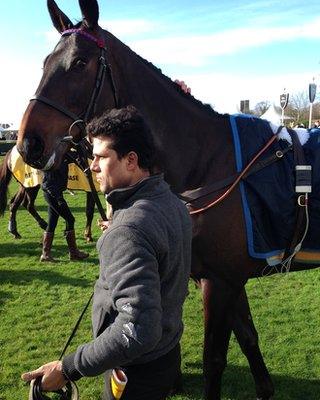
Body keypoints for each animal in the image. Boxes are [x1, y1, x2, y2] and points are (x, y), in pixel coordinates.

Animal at [14, 1, 318, 398]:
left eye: (79, 62)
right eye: (45, 62)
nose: (28, 143)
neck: (210, 160)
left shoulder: (219, 282)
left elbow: (214, 361)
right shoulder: (228, 278)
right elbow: (250, 338)